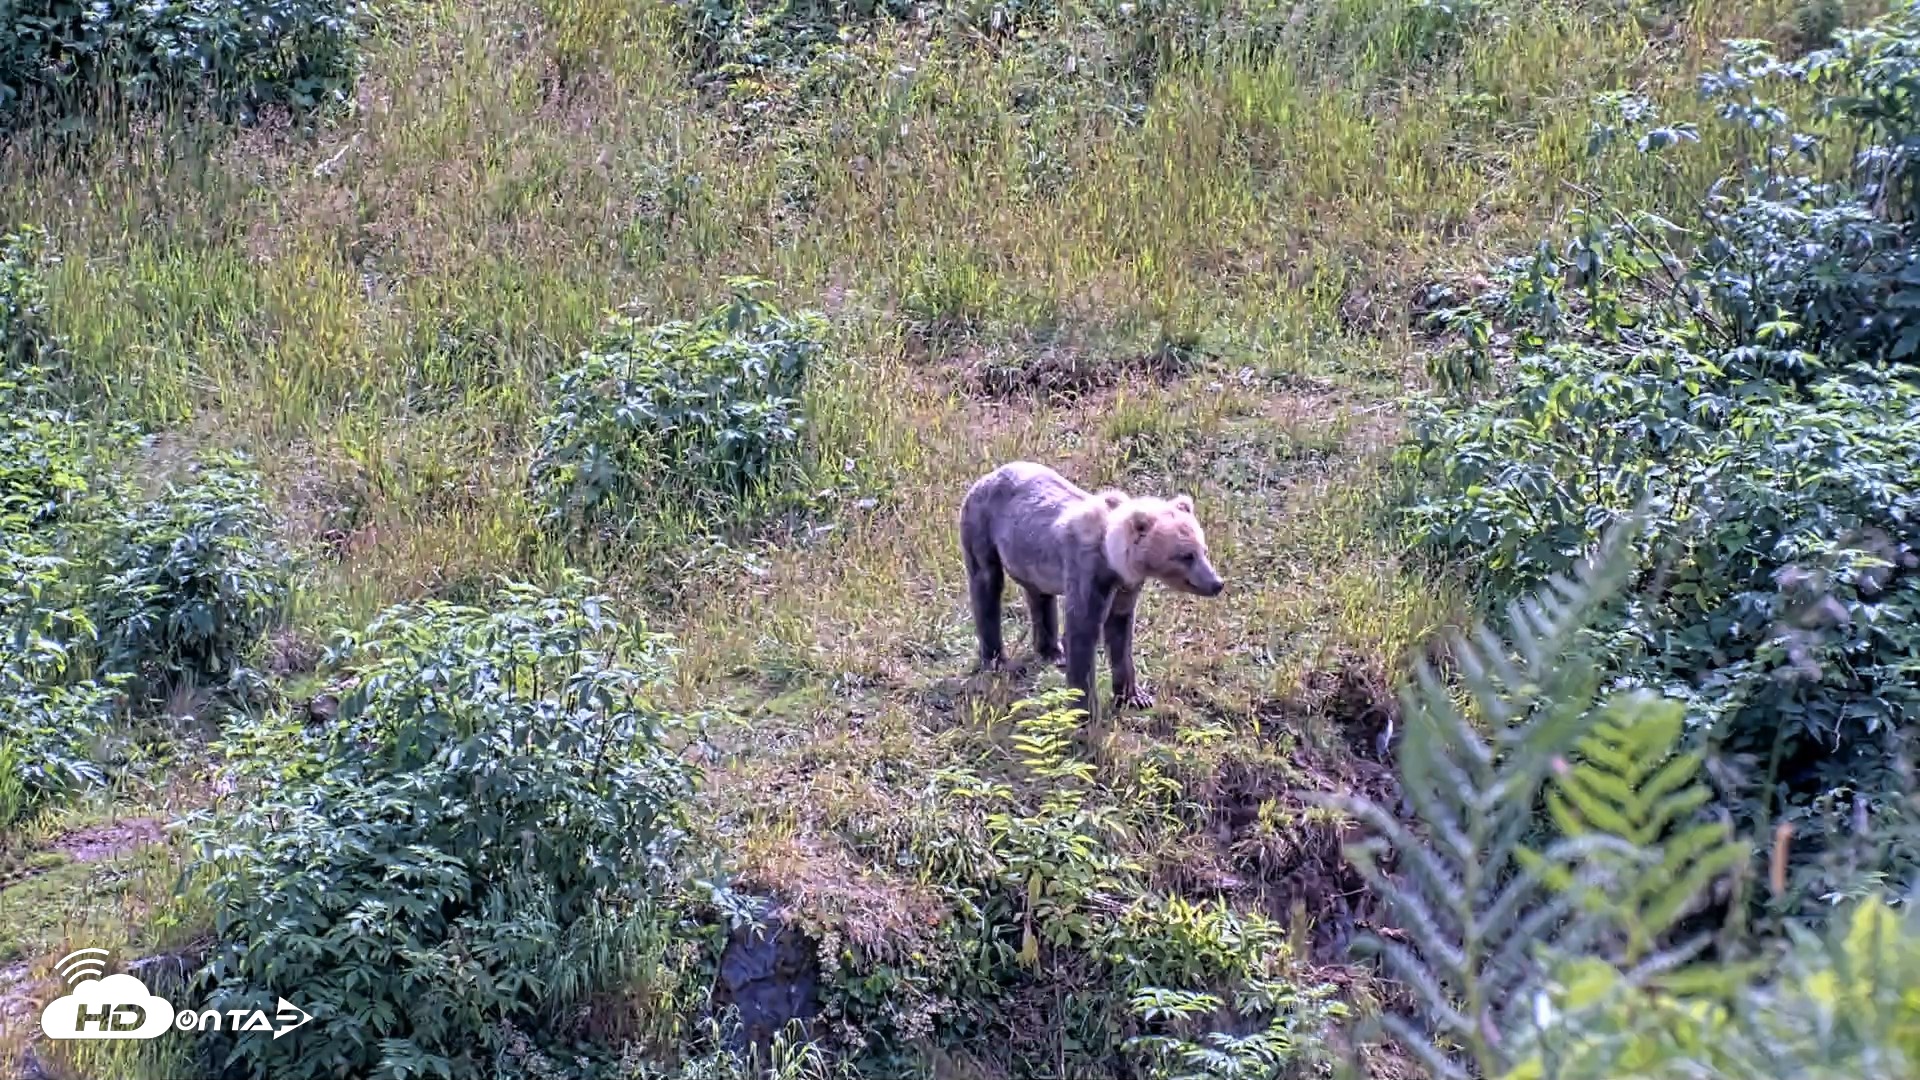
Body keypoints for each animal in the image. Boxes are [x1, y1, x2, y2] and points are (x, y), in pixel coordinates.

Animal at [959, 460, 1224, 722]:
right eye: (1186, 555)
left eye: (1203, 549)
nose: (1217, 583)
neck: (1112, 556)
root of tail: (989, 474)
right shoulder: (1088, 572)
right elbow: (1083, 630)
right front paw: (1085, 709)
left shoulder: (1125, 586)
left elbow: (1120, 632)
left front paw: (1135, 697)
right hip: (981, 525)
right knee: (986, 584)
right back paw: (998, 661)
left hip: (1028, 553)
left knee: (1039, 595)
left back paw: (1053, 652)